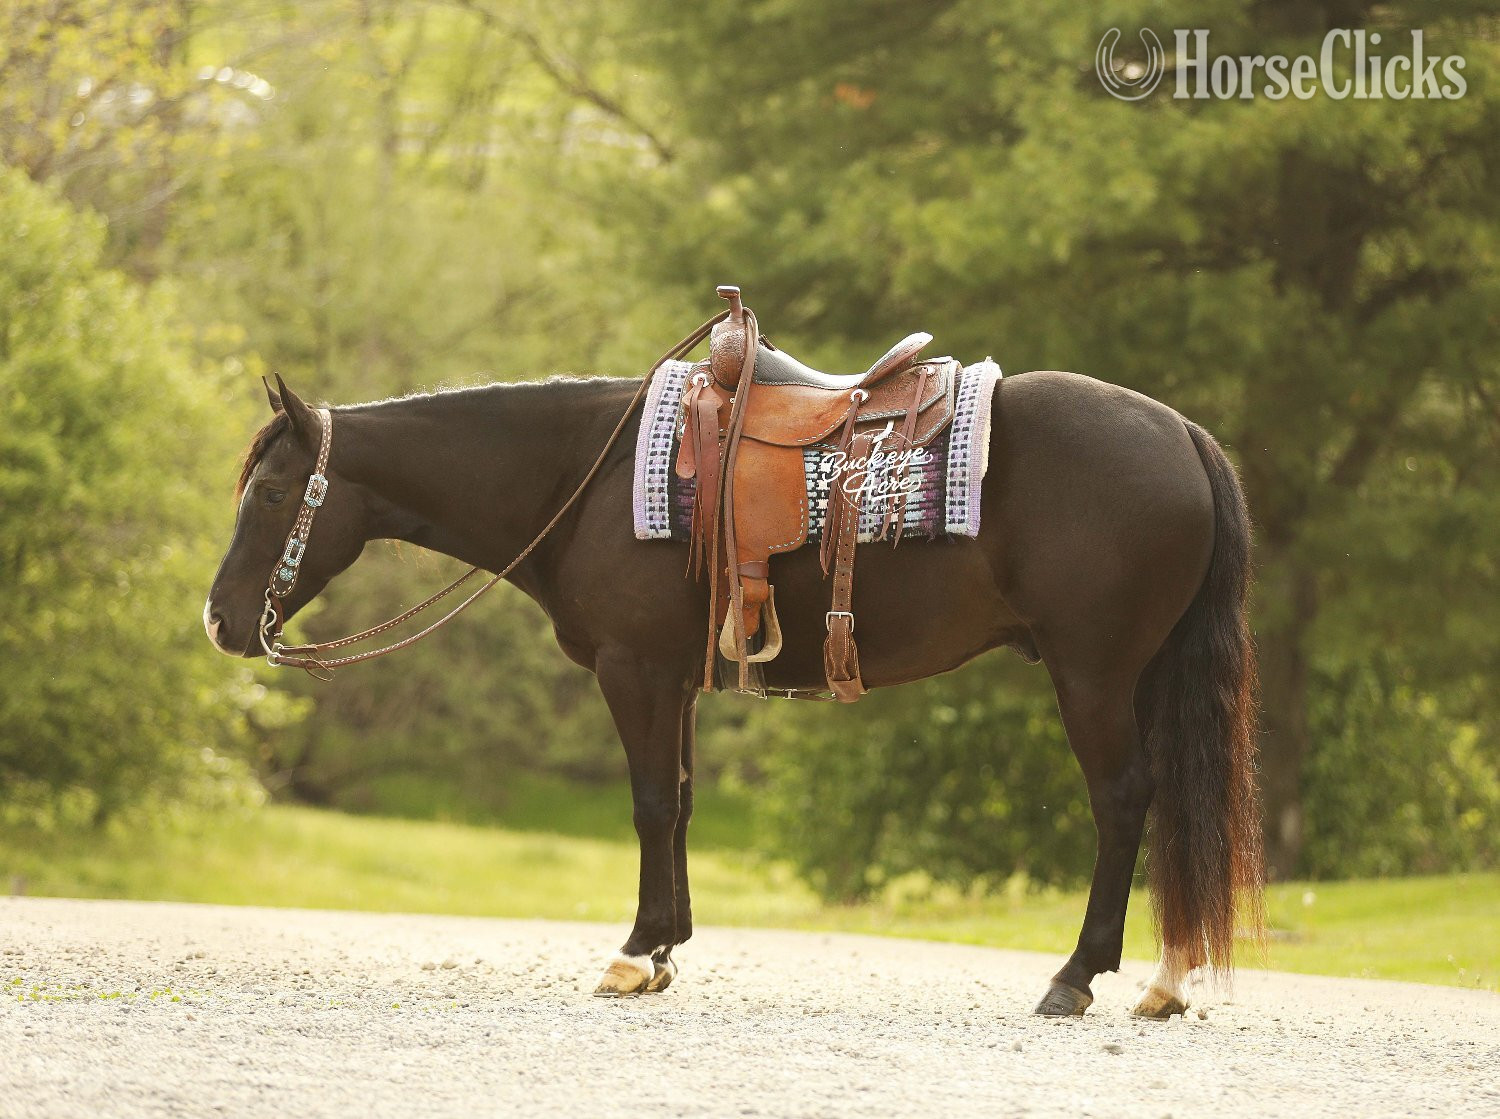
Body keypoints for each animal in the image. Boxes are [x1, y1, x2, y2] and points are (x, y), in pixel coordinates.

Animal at [204, 359, 1265, 1018]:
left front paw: (632, 953)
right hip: (1143, 675)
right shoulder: (671, 678)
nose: (219, 618)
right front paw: (666, 947)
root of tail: (1183, 433)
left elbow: (645, 802)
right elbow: (675, 802)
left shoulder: (632, 669)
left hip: (1095, 673)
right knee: (1169, 808)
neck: (583, 477)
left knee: (1123, 801)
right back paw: (1166, 980)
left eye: (270, 493)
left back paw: (1078, 975)